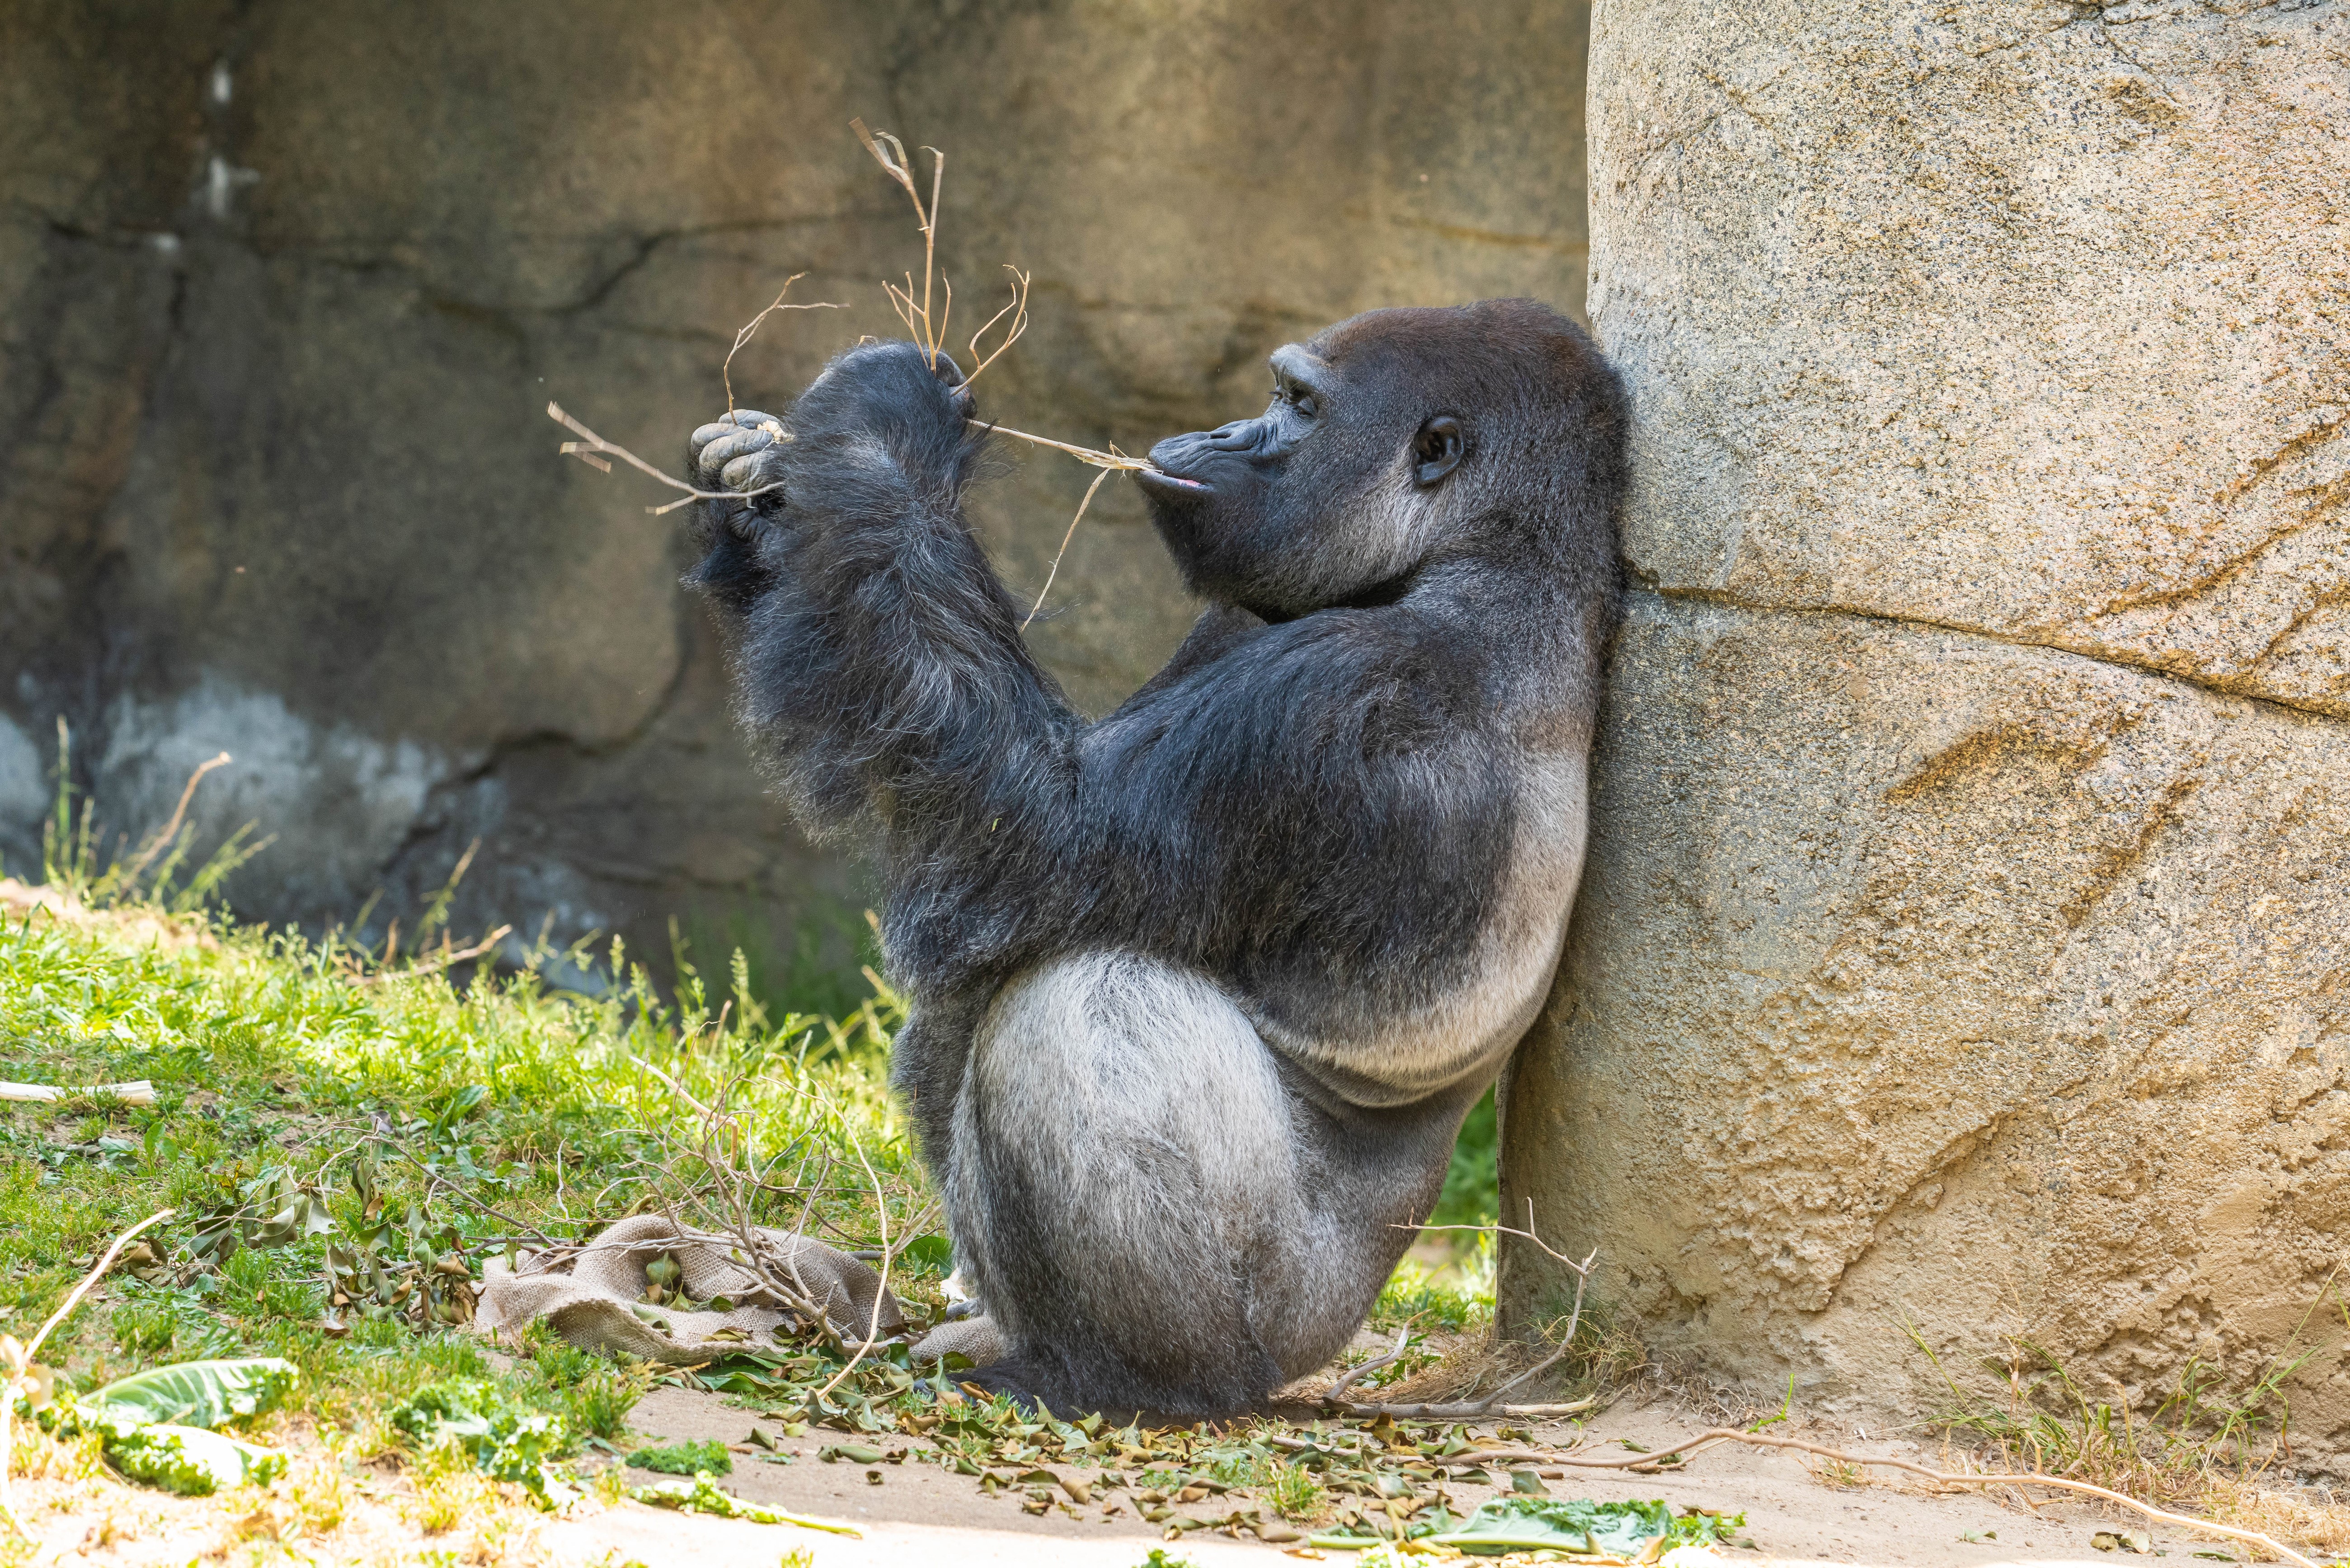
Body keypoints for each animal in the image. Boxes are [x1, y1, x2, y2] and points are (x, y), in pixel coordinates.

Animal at [682, 297, 1625, 1413]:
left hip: (1286, 1329)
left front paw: (878, 425)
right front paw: (752, 495)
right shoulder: (1243, 621)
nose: (1215, 435)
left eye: (1298, 405)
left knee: (1087, 995)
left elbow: (1036, 832)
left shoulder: (1345, 701)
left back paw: (1120, 1375)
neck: (1488, 562)